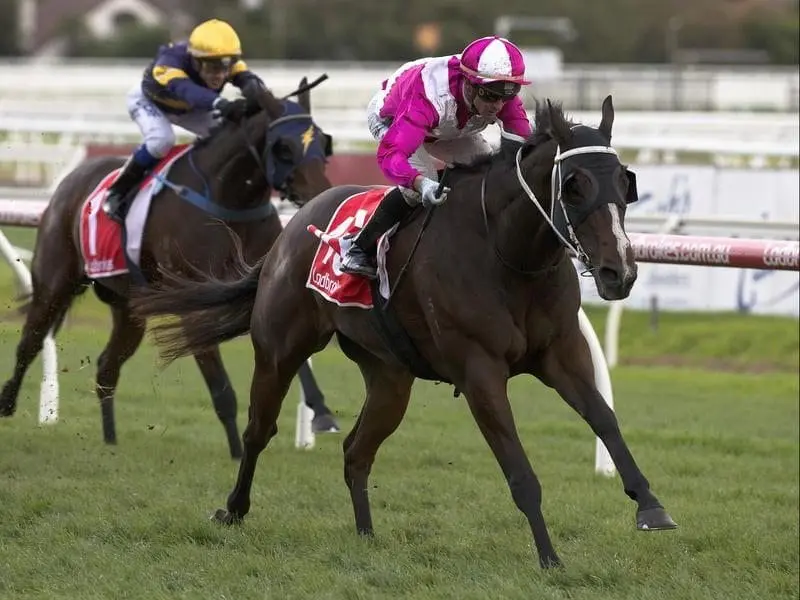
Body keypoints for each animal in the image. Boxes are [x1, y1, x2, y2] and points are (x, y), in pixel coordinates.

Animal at [0, 77, 340, 458]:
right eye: (284, 148)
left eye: (322, 142)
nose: (321, 193)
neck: (228, 199)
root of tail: (71, 180)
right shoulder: (193, 304)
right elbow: (221, 388)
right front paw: (238, 451)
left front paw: (322, 414)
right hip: (56, 281)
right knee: (30, 341)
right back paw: (7, 404)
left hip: (129, 309)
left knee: (106, 368)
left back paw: (110, 439)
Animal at [130, 97, 676, 568]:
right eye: (575, 184)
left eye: (625, 181)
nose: (619, 272)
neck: (508, 252)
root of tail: (291, 229)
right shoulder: (480, 371)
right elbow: (519, 471)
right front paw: (549, 558)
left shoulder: (560, 352)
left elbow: (605, 418)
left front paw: (650, 506)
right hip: (279, 349)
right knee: (258, 431)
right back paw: (234, 509)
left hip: (390, 377)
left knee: (356, 450)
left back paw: (366, 534)